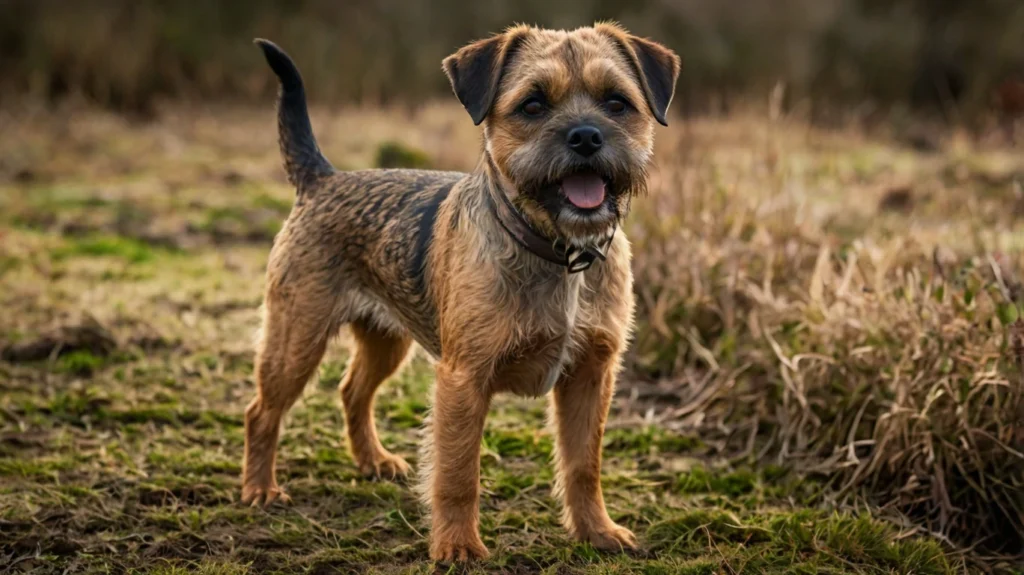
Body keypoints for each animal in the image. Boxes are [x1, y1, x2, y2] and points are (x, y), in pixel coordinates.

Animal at [241, 23, 679, 560]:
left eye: (617, 103)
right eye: (533, 105)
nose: (586, 136)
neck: (559, 252)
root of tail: (323, 179)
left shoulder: (590, 377)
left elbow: (583, 465)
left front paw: (596, 531)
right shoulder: (465, 380)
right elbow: (457, 472)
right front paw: (458, 547)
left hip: (386, 342)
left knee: (353, 391)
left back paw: (372, 460)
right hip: (296, 341)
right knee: (262, 411)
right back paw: (260, 488)